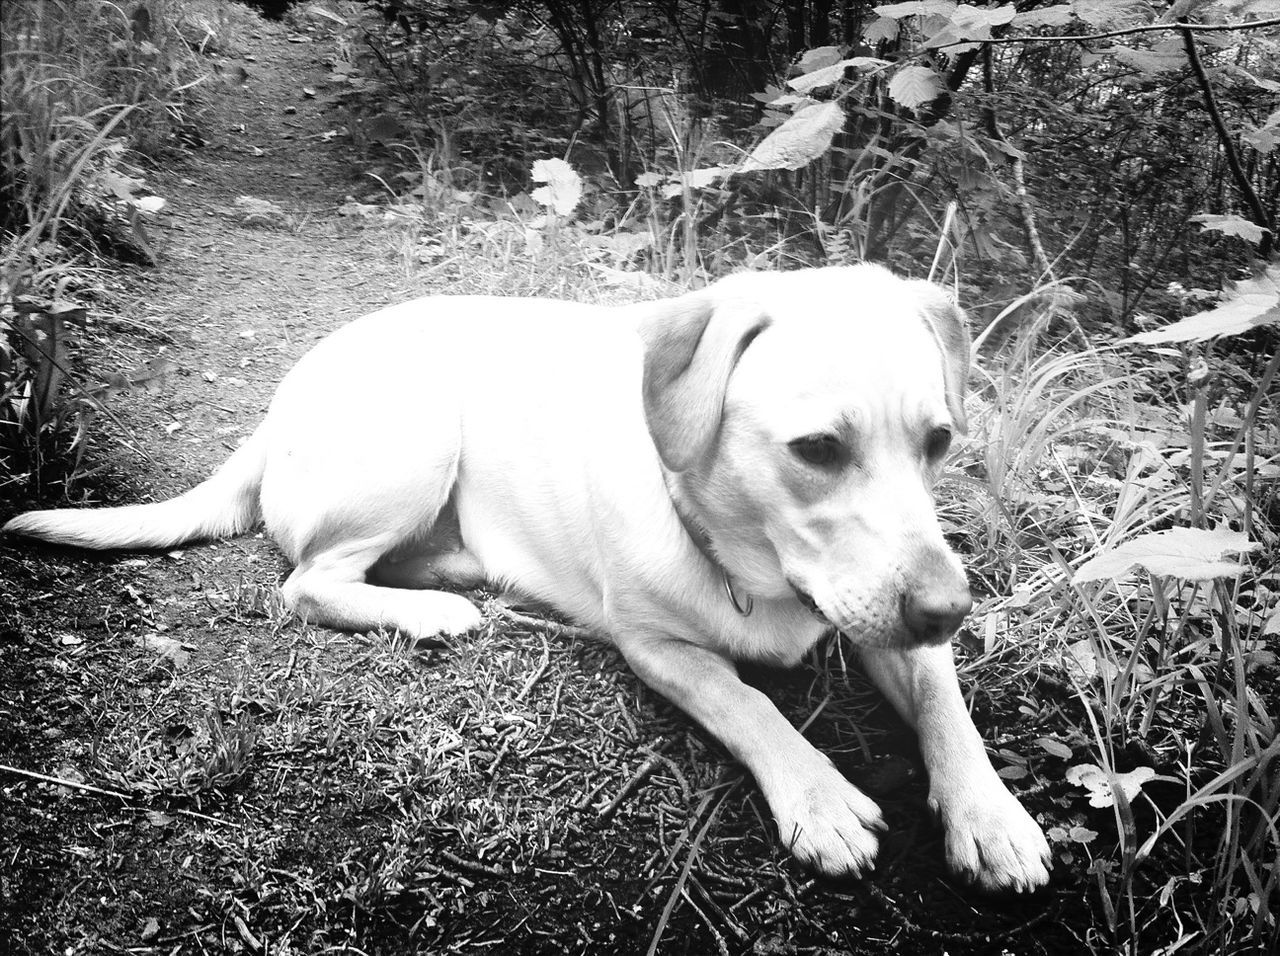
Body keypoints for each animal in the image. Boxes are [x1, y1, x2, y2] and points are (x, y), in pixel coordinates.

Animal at [5, 262, 1049, 890]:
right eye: (817, 449)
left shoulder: (892, 628)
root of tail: (280, 401)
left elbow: (947, 705)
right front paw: (819, 793)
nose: (951, 608)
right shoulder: (657, 646)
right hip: (419, 430)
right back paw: (430, 611)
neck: (740, 554)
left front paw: (989, 812)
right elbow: (750, 705)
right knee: (304, 582)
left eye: (939, 441)